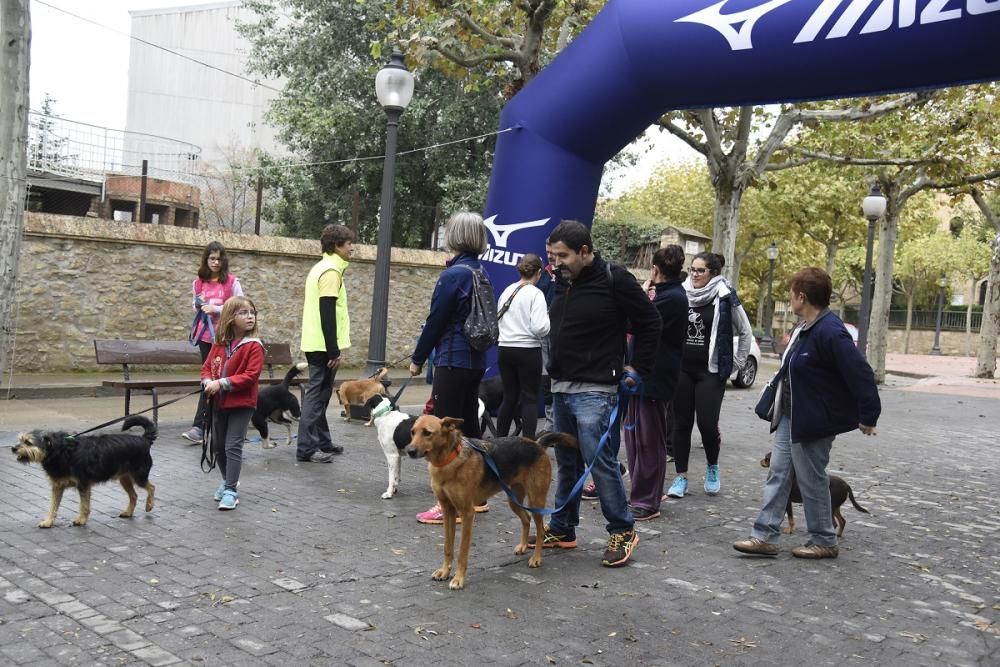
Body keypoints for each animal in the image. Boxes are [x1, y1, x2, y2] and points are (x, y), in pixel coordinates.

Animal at [10, 414, 158, 528]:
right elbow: (53, 506)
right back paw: (128, 512)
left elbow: (84, 505)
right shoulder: (57, 486)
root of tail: (144, 440)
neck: (60, 451)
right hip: (124, 478)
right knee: (134, 495)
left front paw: (81, 520)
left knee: (151, 487)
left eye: (28, 442)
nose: (13, 448)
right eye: (20, 440)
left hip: (138, 476)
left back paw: (149, 505)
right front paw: (48, 521)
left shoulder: (83, 484)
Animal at [406, 414, 580, 592]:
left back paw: (536, 558)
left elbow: (462, 552)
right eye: (413, 432)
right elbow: (448, 547)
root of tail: (537, 444)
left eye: (427, 433)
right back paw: (523, 546)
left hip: (535, 502)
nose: (409, 451)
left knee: (540, 530)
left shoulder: (467, 513)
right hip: (513, 500)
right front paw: (444, 571)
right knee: (526, 520)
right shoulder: (448, 511)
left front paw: (458, 579)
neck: (448, 461)